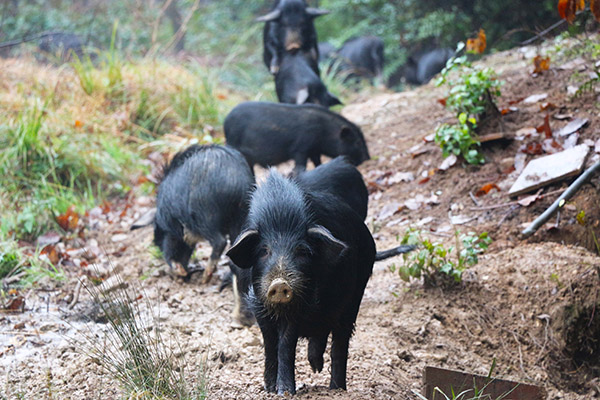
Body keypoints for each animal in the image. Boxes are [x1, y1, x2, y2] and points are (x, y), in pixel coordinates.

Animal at [224, 101, 368, 175]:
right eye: (357, 142)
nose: (367, 158)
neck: (324, 131)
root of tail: (225, 122)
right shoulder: (300, 149)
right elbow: (301, 164)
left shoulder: (314, 150)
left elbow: (317, 162)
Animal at [227, 169, 414, 394]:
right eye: (263, 251)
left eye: (302, 251)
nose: (279, 283)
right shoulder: (257, 303)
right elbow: (270, 345)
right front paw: (270, 389)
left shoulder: (301, 304)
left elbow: (286, 344)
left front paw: (286, 392)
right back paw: (316, 367)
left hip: (354, 298)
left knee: (340, 341)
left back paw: (336, 387)